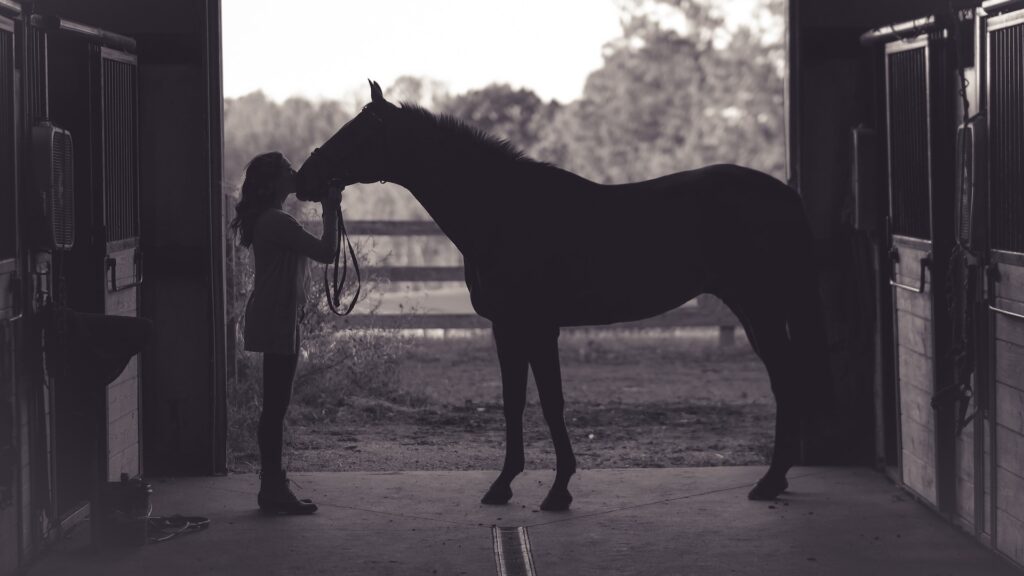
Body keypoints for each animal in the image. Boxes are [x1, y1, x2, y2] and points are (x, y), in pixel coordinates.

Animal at [296, 79, 831, 506]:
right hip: (756, 309)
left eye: (357, 133)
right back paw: (776, 480)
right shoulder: (507, 328)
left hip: (761, 308)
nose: (304, 179)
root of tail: (785, 194)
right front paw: (503, 485)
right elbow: (514, 401)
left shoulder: (538, 326)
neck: (503, 212)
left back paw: (770, 481)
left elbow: (551, 402)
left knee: (787, 380)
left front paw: (558, 490)